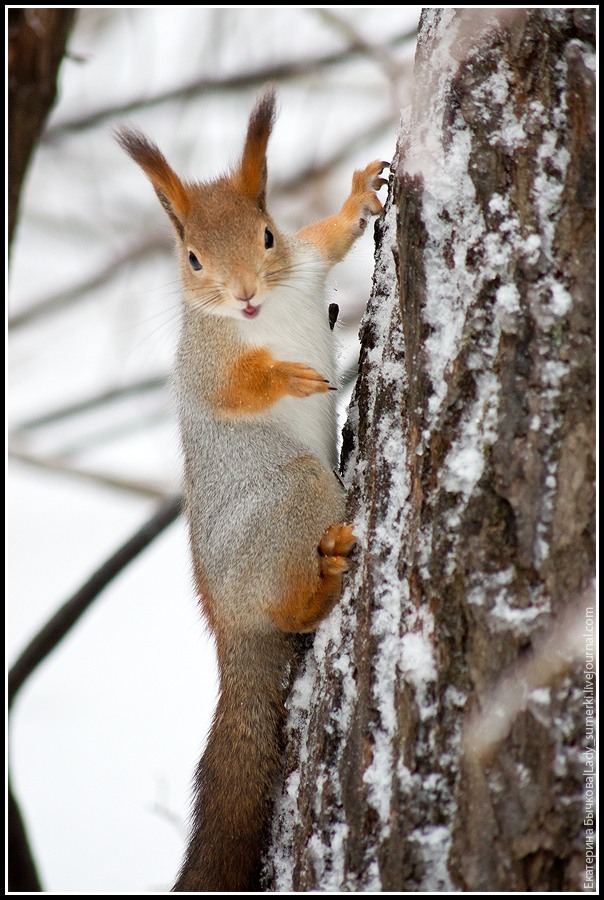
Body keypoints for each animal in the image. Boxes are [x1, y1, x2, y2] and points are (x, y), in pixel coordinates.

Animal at [115, 88, 384, 888]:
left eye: (267, 236)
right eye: (192, 259)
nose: (244, 299)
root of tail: (228, 624)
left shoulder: (307, 262)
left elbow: (330, 236)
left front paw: (361, 194)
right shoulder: (203, 368)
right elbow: (237, 388)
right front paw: (287, 376)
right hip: (294, 492)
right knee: (290, 611)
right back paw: (323, 582)